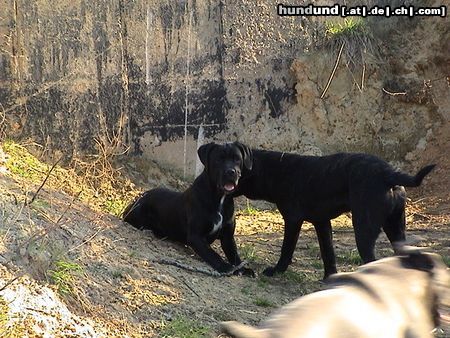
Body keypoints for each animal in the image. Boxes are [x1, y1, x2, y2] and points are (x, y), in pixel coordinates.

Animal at [121, 141, 255, 276]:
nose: (231, 172)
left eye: (237, 159)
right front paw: (225, 266)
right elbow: (212, 254)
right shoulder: (196, 236)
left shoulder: (228, 237)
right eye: (218, 159)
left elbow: (234, 255)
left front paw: (243, 269)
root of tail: (139, 197)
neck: (219, 198)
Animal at [229, 144, 436, 278]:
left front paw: (275, 271)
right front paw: (330, 278)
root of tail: (389, 172)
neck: (275, 170)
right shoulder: (322, 223)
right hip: (395, 228)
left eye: (236, 164)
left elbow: (286, 250)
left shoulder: (293, 220)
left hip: (364, 230)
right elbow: (328, 253)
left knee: (372, 260)